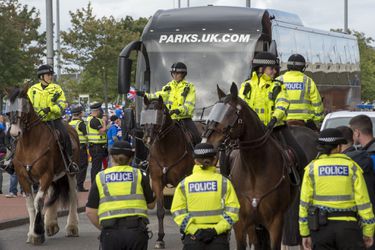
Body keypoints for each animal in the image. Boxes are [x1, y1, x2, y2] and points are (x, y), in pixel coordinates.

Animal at [6, 85, 79, 244]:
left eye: (24, 107)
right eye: (8, 111)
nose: (14, 133)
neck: (30, 144)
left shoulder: (45, 175)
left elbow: (38, 201)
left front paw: (37, 232)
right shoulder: (23, 178)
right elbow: (30, 205)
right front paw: (31, 233)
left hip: (70, 173)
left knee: (72, 197)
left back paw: (72, 227)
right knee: (52, 195)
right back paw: (51, 224)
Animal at [140, 95, 194, 248]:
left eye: (159, 115)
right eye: (144, 114)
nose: (147, 138)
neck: (166, 149)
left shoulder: (180, 180)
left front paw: (183, 235)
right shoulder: (157, 181)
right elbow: (160, 211)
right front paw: (160, 238)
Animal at [203, 83, 318, 250]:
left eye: (230, 114)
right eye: (214, 112)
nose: (205, 143)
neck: (254, 170)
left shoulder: (276, 222)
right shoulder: (243, 222)